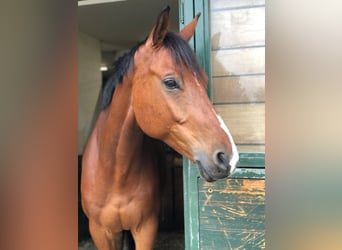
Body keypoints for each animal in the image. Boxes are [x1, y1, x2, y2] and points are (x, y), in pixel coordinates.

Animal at [81, 5, 239, 250]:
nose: (228, 158)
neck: (114, 173)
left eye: (204, 81)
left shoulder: (145, 228)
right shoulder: (101, 233)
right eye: (170, 82)